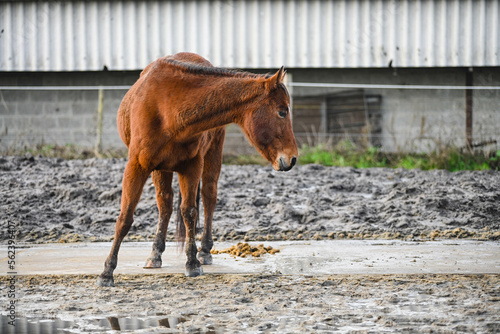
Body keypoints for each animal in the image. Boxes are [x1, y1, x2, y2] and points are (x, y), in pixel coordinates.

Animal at [96, 52, 296, 288]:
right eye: (282, 112)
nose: (292, 158)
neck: (168, 110)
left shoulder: (191, 166)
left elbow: (189, 212)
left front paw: (192, 263)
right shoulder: (137, 166)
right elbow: (125, 217)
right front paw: (107, 272)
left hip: (211, 155)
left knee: (208, 197)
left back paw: (205, 251)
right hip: (160, 170)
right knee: (165, 204)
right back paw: (155, 255)